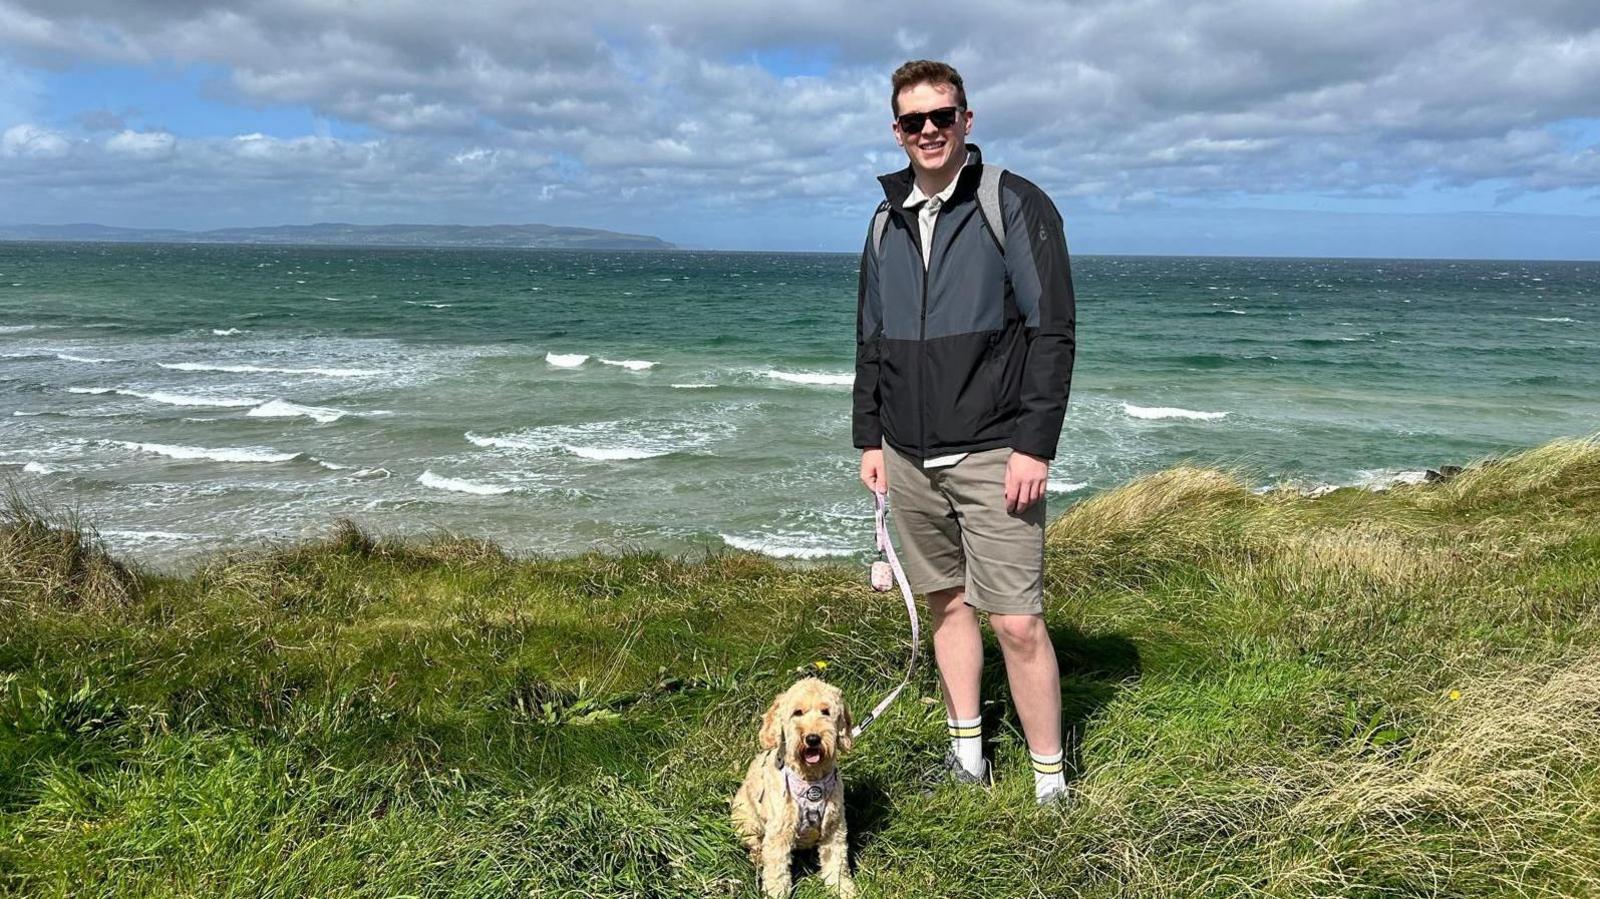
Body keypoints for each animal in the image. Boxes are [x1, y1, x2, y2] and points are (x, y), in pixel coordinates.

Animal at [732, 675, 857, 889]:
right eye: (797, 712)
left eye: (826, 712)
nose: (813, 738)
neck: (811, 780)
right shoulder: (779, 832)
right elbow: (777, 873)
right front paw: (775, 892)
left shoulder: (834, 829)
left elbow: (836, 863)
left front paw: (843, 889)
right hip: (745, 821)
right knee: (755, 844)